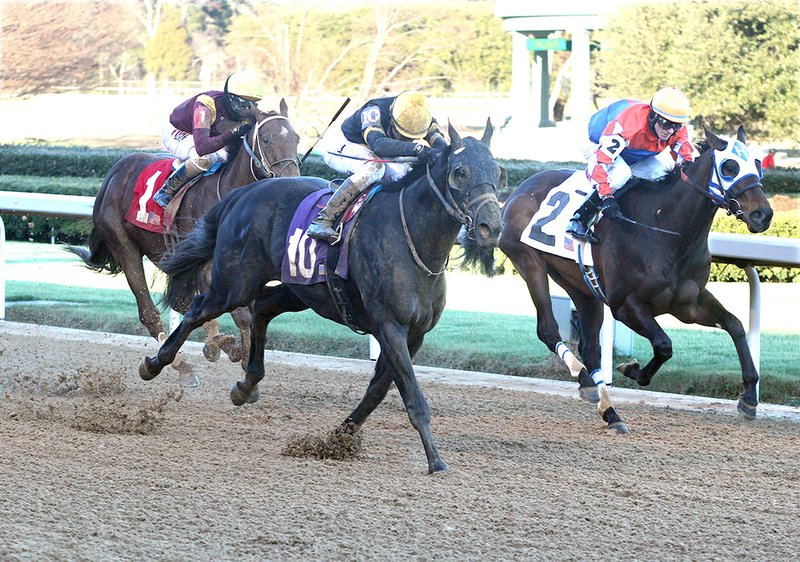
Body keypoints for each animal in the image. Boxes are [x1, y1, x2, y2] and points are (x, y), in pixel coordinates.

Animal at [67, 100, 300, 380]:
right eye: (266, 139)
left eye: (297, 139)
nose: (294, 182)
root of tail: (113, 173)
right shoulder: (208, 265)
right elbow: (240, 313)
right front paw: (243, 358)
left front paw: (231, 348)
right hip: (124, 243)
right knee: (149, 312)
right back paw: (178, 362)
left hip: (165, 252)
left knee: (184, 302)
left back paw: (213, 344)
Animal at [137, 122, 500, 472]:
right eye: (460, 171)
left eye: (497, 171)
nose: (490, 227)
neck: (411, 238)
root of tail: (245, 192)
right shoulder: (390, 325)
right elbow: (412, 394)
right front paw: (435, 461)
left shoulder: (414, 334)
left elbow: (378, 389)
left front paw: (339, 438)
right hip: (236, 282)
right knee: (200, 308)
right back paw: (155, 364)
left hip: (300, 290)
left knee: (262, 308)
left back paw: (246, 386)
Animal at [496, 126, 772, 428]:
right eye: (729, 167)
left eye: (757, 164)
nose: (763, 214)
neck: (665, 230)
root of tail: (519, 190)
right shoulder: (626, 306)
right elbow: (664, 345)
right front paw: (632, 369)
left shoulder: (689, 304)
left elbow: (735, 325)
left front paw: (749, 396)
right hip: (529, 263)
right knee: (548, 330)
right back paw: (589, 384)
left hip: (581, 284)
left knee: (590, 346)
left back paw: (601, 400)